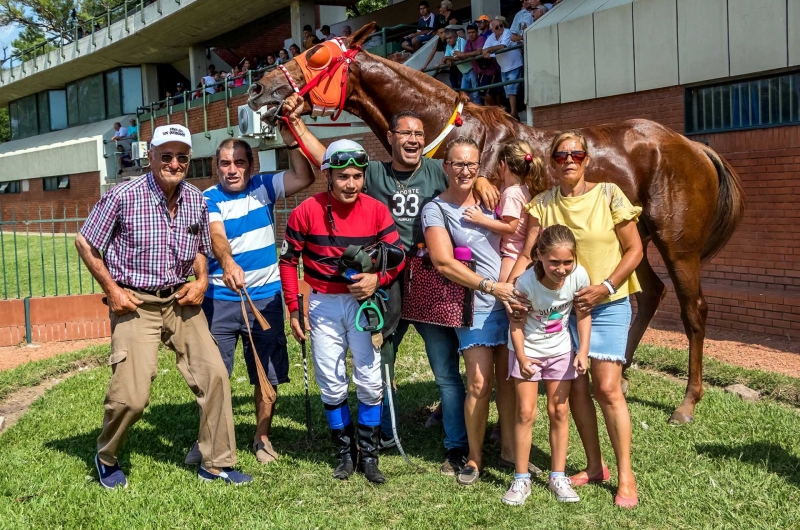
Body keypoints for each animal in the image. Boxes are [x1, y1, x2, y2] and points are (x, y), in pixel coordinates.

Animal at [248, 22, 744, 422]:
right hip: (630, 236)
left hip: (677, 241)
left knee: (693, 309)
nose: (259, 90)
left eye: (318, 55)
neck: (453, 136)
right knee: (647, 293)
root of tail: (692, 146)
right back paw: (617, 372)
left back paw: (686, 402)